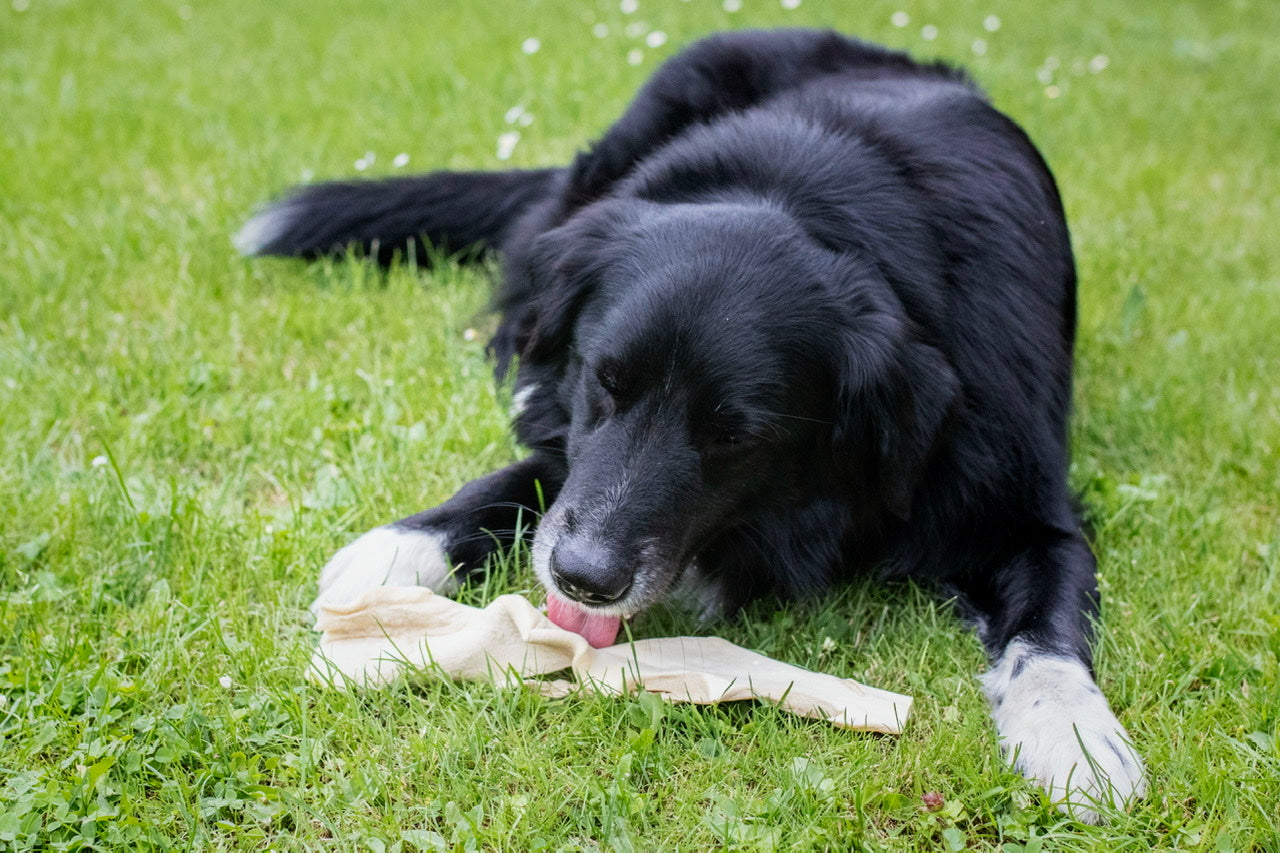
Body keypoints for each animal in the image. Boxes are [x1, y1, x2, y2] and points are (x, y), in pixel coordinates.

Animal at [241, 31, 1152, 819]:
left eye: (734, 434)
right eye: (604, 381)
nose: (582, 579)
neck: (832, 193)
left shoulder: (1030, 507)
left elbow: (1049, 631)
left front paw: (1075, 737)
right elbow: (531, 471)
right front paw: (402, 545)